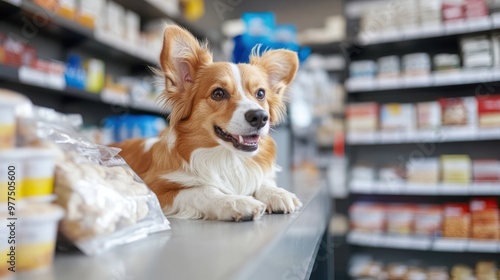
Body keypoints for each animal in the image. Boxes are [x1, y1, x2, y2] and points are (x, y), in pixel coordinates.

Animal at [113, 26, 300, 222]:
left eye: (261, 94)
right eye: (218, 93)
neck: (227, 158)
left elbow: (261, 181)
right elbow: (202, 190)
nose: (259, 117)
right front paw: (235, 201)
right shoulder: (156, 189)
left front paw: (276, 193)